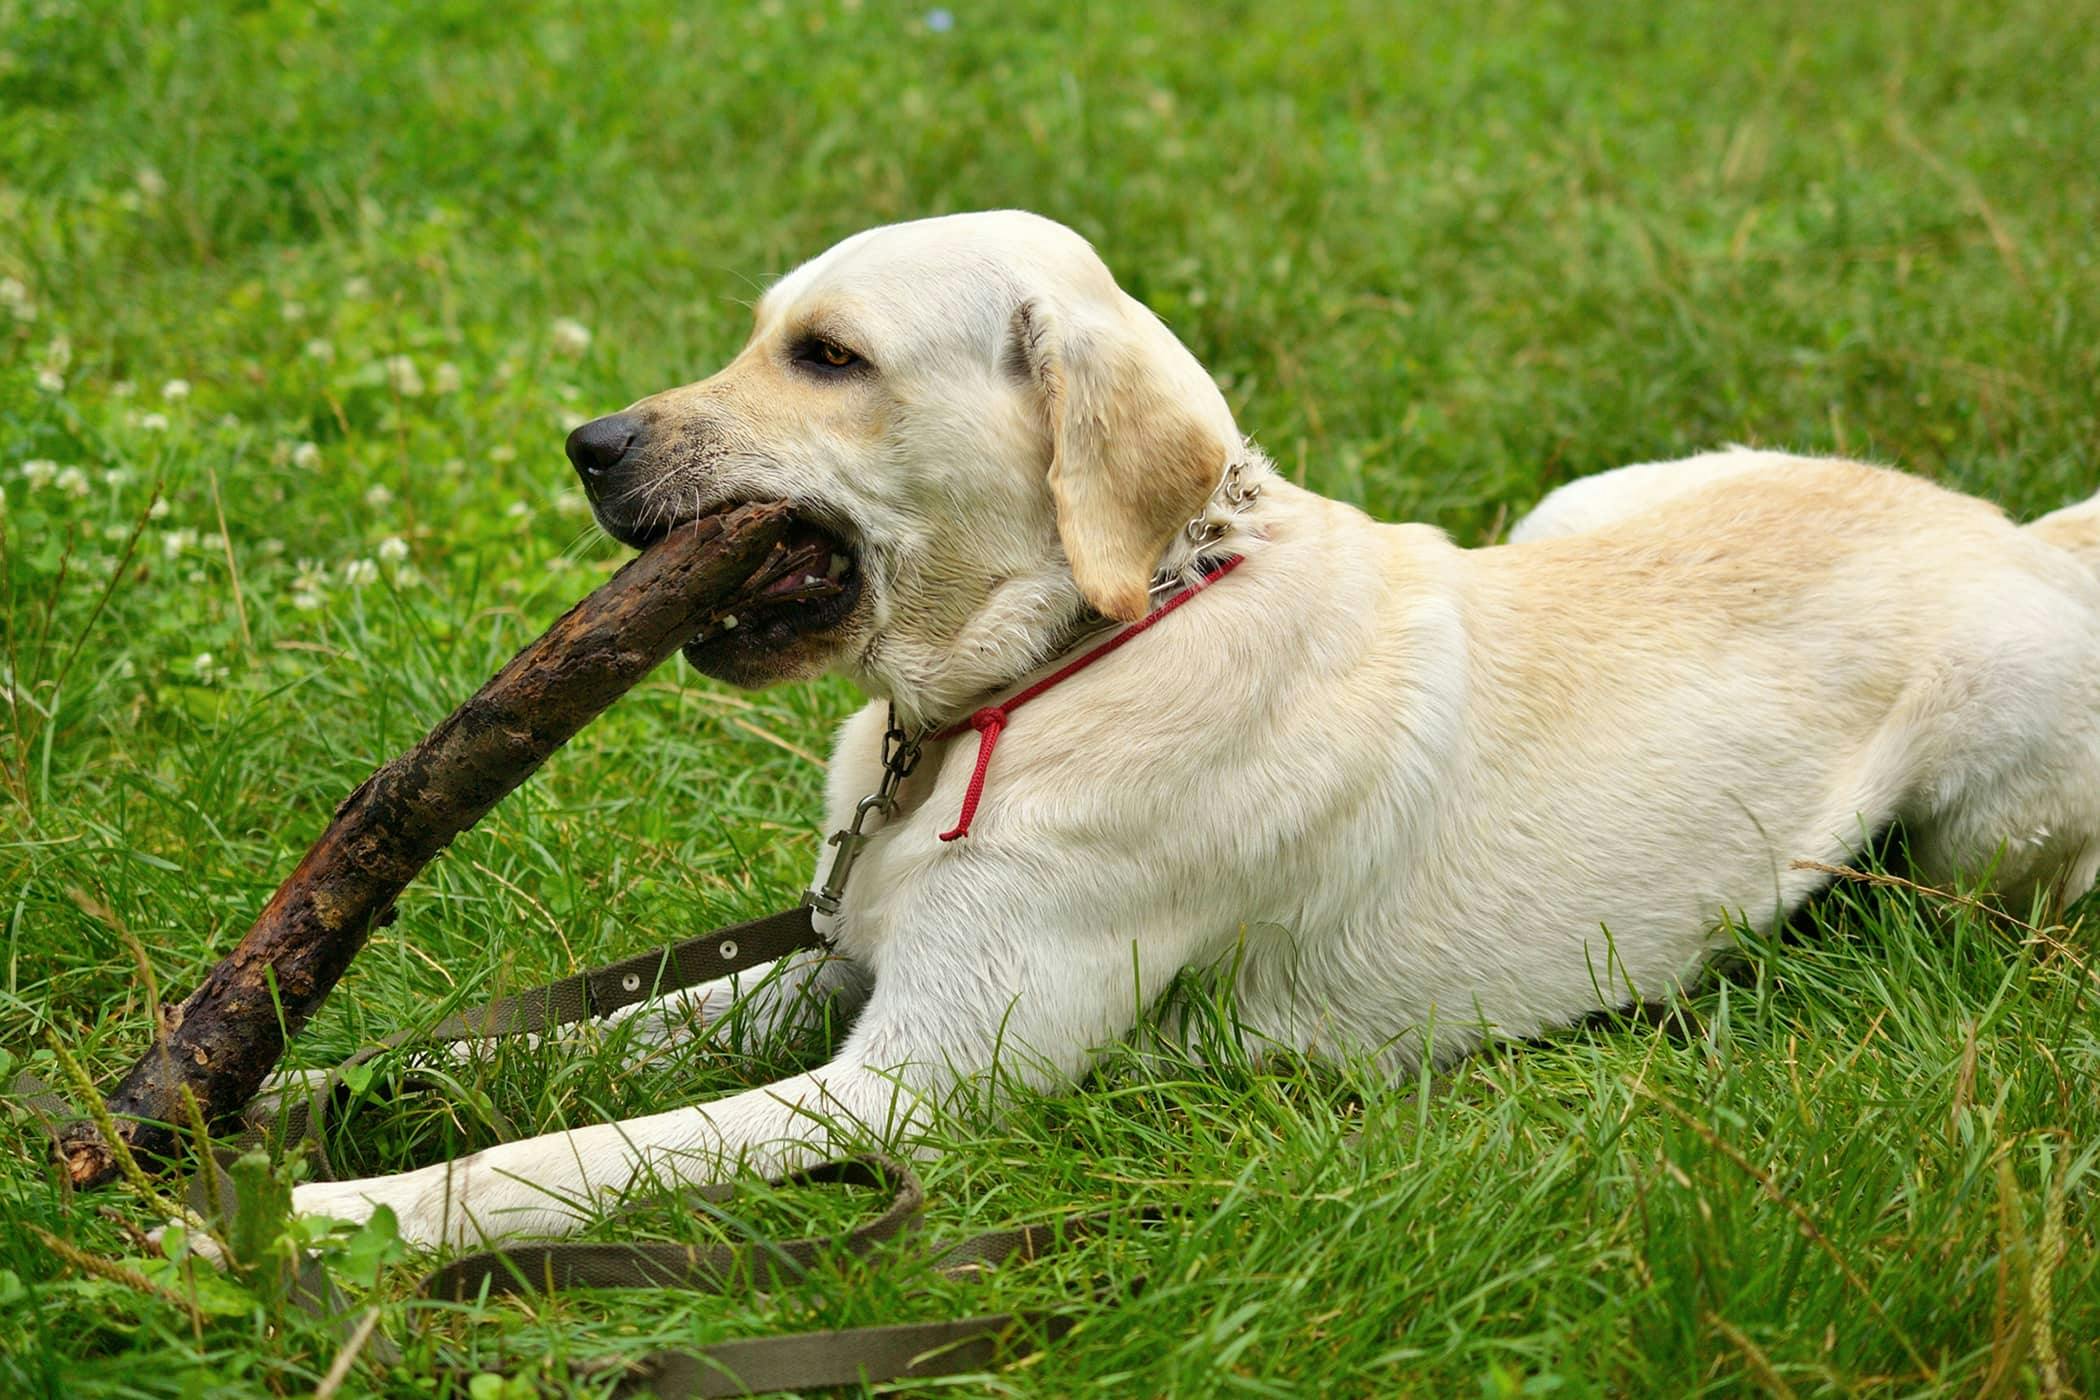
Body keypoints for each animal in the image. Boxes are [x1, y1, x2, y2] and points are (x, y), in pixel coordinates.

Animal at [291, 210, 2100, 1250]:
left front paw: (336, 1217)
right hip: (1585, 499)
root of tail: (2022, 533)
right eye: (767, 333)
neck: (1069, 658)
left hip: (1986, 811)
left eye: (829, 357)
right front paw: (296, 1094)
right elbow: (552, 1053)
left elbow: (570, 1157)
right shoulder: (842, 960)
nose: (586, 445)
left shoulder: (903, 1089)